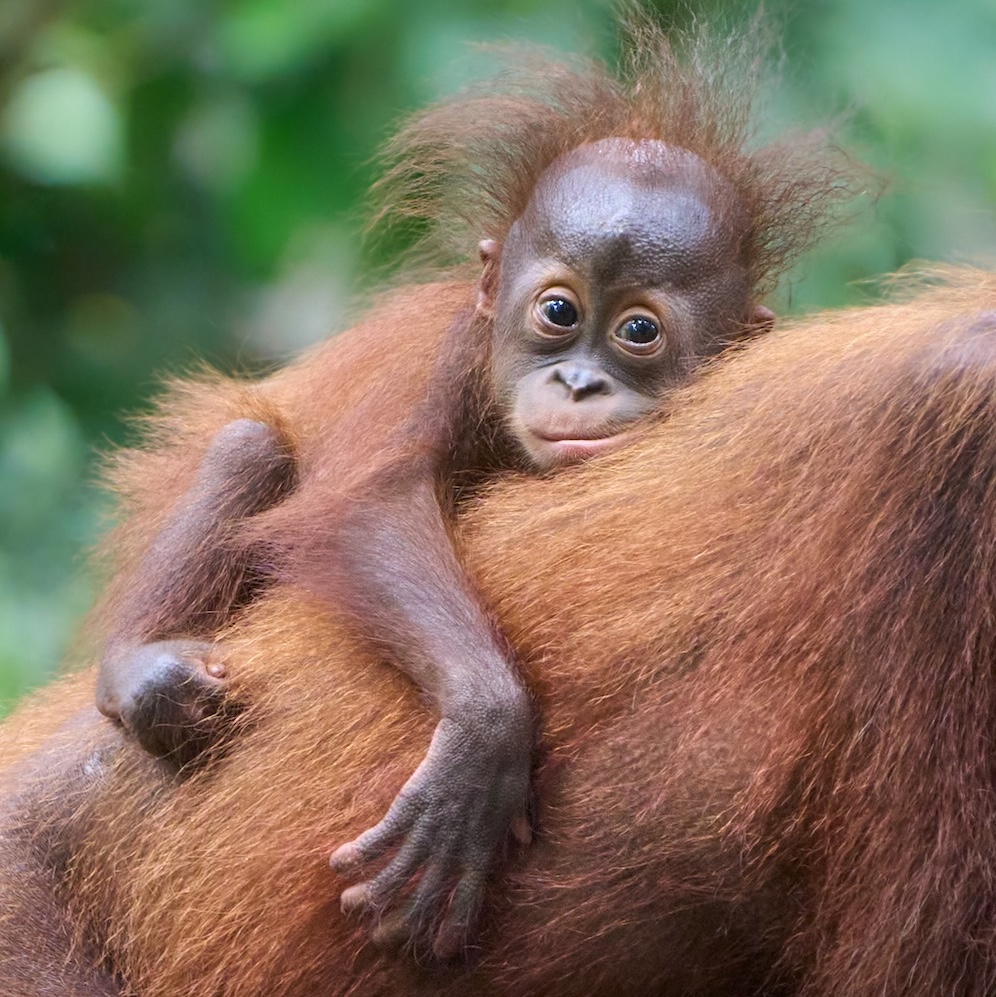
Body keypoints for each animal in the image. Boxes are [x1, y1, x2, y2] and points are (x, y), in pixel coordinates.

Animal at [86, 18, 848, 957]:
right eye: (557, 312)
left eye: (638, 331)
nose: (578, 384)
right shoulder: (455, 352)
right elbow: (369, 500)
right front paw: (484, 743)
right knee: (249, 446)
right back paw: (136, 667)